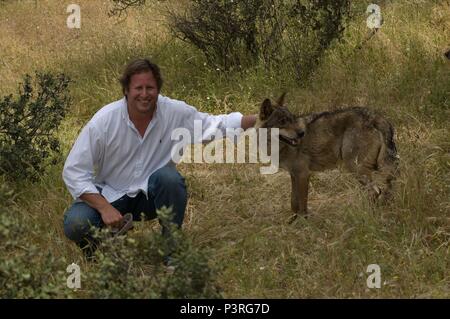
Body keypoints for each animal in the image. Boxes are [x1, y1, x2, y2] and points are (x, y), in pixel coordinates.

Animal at [255, 94, 400, 221]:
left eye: (291, 119)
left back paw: (367, 214)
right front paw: (292, 221)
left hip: (355, 167)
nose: (301, 133)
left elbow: (302, 203)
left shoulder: (303, 174)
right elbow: (293, 202)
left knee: (375, 191)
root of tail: (377, 117)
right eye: (282, 122)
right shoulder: (293, 174)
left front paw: (303, 222)